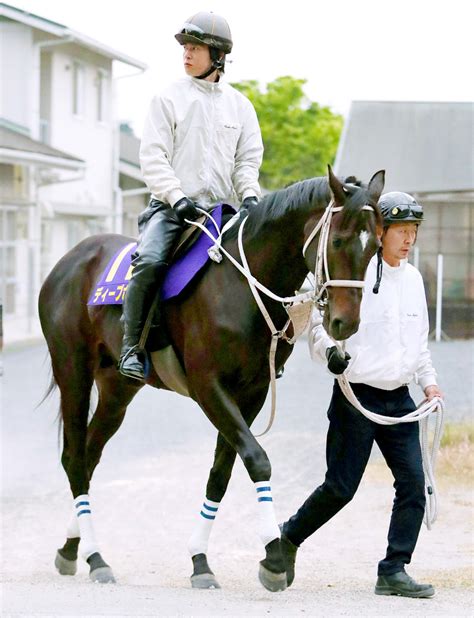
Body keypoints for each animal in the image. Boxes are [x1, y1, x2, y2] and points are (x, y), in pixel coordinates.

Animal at [38, 166, 386, 588]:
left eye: (375, 247)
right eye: (336, 241)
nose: (344, 323)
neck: (243, 287)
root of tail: (70, 260)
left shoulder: (251, 394)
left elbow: (221, 473)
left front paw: (200, 561)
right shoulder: (209, 388)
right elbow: (257, 459)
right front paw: (273, 558)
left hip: (117, 390)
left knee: (89, 457)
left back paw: (73, 549)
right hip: (72, 372)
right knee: (74, 459)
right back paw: (96, 556)